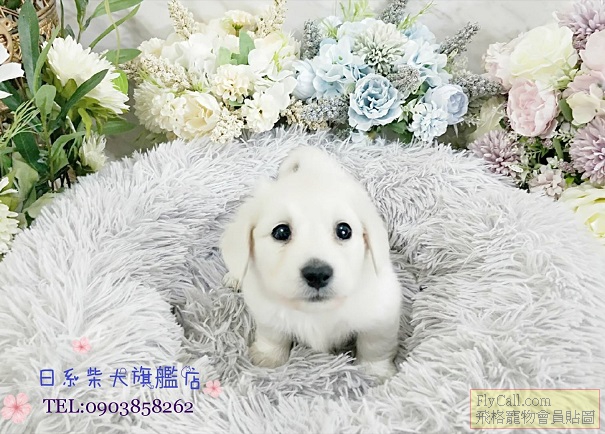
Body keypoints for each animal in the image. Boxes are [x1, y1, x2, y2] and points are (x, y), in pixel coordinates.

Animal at [220, 147, 402, 380]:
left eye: (344, 230)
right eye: (281, 232)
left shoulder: (381, 315)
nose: (317, 274)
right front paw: (268, 358)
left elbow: (375, 346)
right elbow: (273, 335)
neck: (317, 312)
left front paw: (375, 372)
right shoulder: (266, 311)